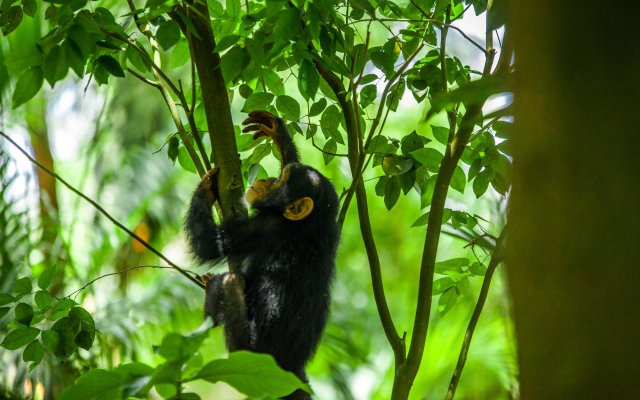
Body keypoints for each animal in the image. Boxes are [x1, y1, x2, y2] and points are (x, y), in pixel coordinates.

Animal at [185, 110, 340, 400]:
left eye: (281, 182)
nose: (268, 181)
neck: (309, 224)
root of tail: (292, 372)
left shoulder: (265, 227)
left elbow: (208, 244)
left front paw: (206, 187)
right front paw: (278, 132)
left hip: (245, 351)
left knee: (231, 281)